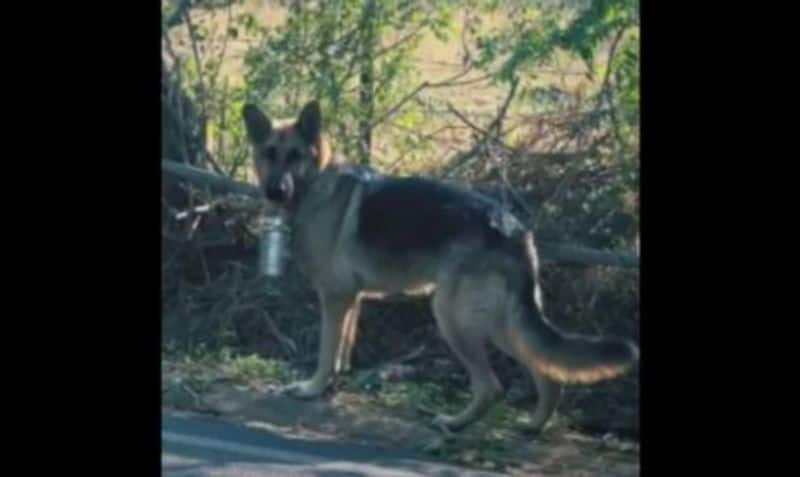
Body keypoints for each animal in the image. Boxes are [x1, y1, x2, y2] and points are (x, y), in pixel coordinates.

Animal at [241, 99, 640, 432]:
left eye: (295, 155)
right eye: (270, 154)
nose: (276, 191)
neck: (316, 183)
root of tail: (513, 229)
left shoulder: (335, 299)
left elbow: (327, 352)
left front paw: (312, 388)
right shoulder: (351, 300)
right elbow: (343, 351)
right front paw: (331, 387)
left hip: (454, 317)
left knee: (492, 386)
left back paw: (455, 423)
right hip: (502, 322)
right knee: (549, 375)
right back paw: (532, 425)